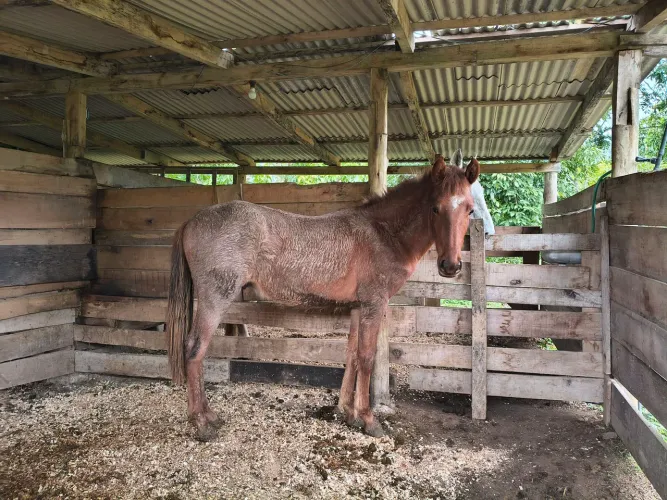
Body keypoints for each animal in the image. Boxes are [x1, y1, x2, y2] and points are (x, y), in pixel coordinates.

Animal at [166, 156, 481, 441]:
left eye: (470, 209)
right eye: (435, 207)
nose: (450, 266)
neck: (383, 233)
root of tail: (191, 221)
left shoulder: (357, 308)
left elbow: (352, 355)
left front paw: (347, 413)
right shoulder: (374, 305)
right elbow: (367, 358)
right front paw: (368, 420)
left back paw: (208, 415)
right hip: (214, 299)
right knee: (194, 350)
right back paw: (202, 422)